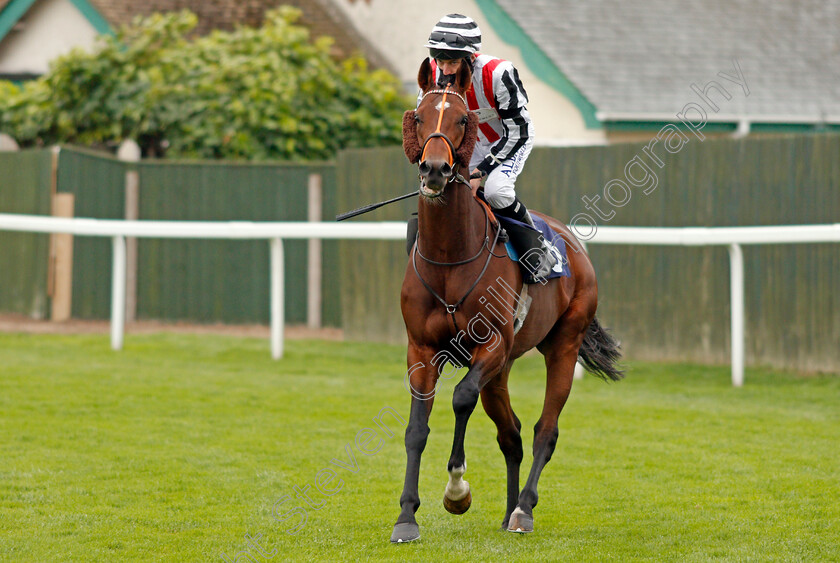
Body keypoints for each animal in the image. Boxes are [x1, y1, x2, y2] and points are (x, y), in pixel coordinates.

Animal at [390, 56, 620, 540]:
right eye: (418, 117)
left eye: (462, 119)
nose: (435, 170)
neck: (451, 257)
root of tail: (574, 244)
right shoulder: (421, 349)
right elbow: (416, 428)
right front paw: (406, 516)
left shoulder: (491, 343)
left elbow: (461, 398)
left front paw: (457, 490)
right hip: (502, 370)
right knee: (510, 434)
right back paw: (509, 507)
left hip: (561, 346)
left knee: (544, 431)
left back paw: (523, 509)